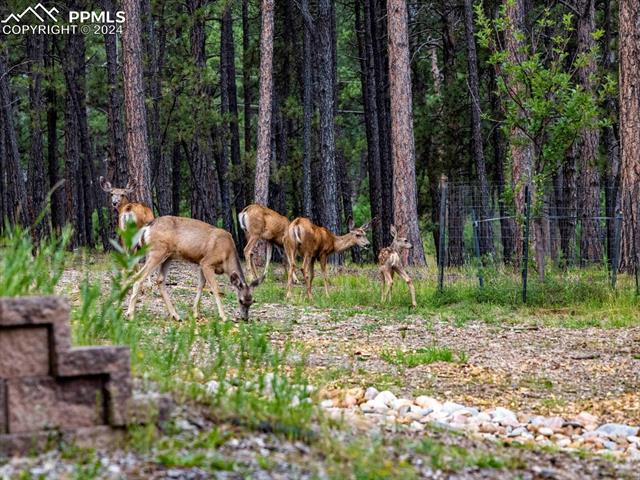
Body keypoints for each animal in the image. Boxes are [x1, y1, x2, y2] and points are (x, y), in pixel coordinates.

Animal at [126, 217, 262, 322]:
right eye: (240, 300)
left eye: (252, 301)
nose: (245, 318)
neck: (227, 257)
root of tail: (147, 227)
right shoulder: (207, 262)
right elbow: (215, 288)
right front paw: (223, 316)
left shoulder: (201, 263)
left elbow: (201, 285)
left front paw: (195, 313)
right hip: (157, 251)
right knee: (139, 276)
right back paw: (130, 314)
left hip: (168, 255)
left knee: (160, 280)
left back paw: (175, 315)